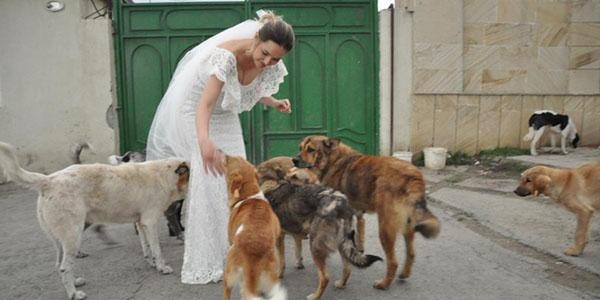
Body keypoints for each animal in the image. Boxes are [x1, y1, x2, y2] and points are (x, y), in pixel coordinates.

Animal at [0, 141, 189, 300]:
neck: (166, 175)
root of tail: (48, 179)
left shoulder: (141, 223)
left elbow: (147, 248)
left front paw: (152, 264)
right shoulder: (150, 222)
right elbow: (157, 249)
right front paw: (162, 267)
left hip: (60, 240)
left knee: (59, 264)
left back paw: (75, 282)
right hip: (73, 236)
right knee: (64, 267)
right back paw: (74, 294)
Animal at [223, 156, 286, 298]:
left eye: (230, 161)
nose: (224, 155)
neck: (250, 195)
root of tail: (253, 252)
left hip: (229, 275)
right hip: (271, 279)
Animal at [256, 157, 380, 300]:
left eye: (294, 177)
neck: (272, 182)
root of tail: (341, 205)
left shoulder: (279, 238)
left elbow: (281, 261)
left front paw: (279, 274)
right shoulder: (296, 232)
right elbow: (298, 249)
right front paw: (299, 264)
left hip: (315, 245)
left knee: (325, 277)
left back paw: (315, 296)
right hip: (342, 244)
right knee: (347, 268)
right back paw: (341, 284)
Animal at [294, 137, 440, 290]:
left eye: (311, 149)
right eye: (300, 148)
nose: (294, 160)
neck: (334, 160)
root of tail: (413, 175)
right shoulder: (358, 215)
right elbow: (359, 236)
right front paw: (358, 251)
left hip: (385, 229)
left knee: (393, 262)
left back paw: (384, 284)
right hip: (408, 226)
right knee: (411, 253)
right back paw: (404, 273)